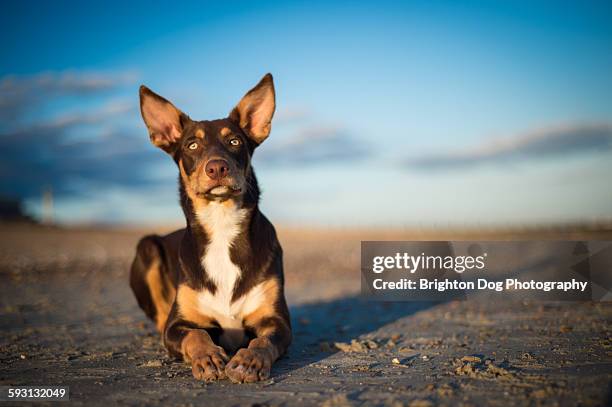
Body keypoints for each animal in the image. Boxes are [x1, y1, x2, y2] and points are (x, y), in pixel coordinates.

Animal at [129, 73, 292, 382]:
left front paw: (248, 361)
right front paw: (207, 358)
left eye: (235, 141)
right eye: (192, 145)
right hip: (147, 246)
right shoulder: (178, 324)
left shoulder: (276, 321)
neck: (221, 224)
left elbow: (261, 341)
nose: (217, 168)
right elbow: (196, 335)